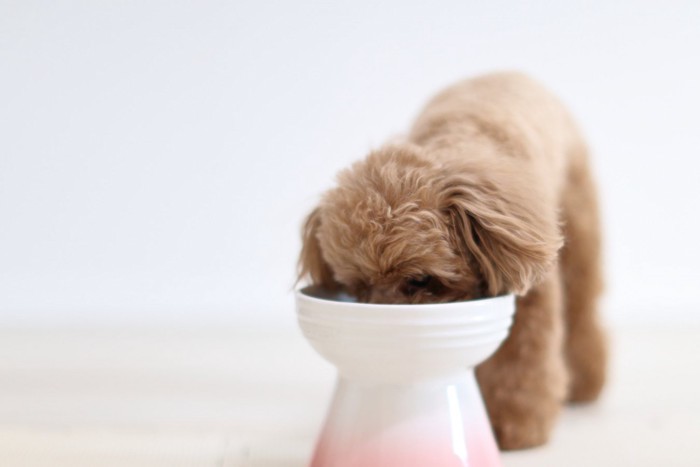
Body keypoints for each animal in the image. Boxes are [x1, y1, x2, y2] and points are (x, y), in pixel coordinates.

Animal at [296, 72, 608, 450]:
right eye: (358, 287)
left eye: (419, 281)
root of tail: (510, 73)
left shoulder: (531, 296)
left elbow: (521, 363)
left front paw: (514, 427)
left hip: (579, 220)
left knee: (582, 308)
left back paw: (586, 384)